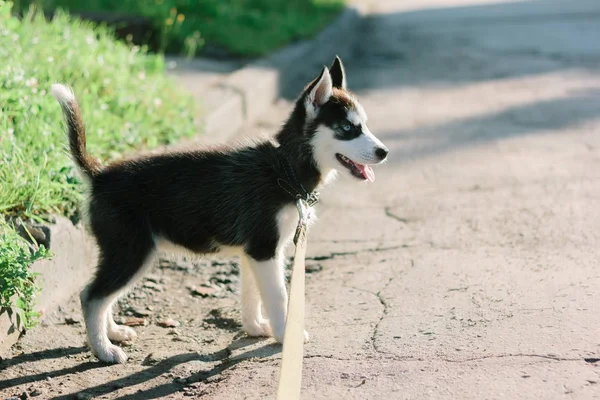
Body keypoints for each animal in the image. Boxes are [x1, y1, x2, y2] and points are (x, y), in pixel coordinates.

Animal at [52, 57, 390, 366]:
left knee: (102, 295)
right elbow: (279, 296)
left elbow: (252, 294)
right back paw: (104, 350)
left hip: (123, 253)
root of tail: (100, 175)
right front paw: (285, 335)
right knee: (92, 296)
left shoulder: (255, 252)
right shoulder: (265, 249)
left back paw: (113, 333)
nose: (384, 152)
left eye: (364, 125)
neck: (284, 169)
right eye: (347, 128)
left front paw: (256, 327)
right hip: (132, 252)